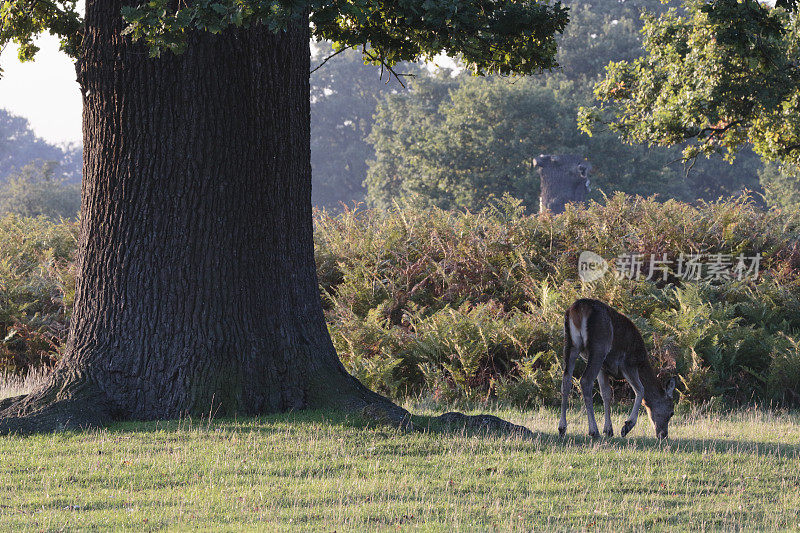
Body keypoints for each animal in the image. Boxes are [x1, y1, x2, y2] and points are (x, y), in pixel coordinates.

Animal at [560, 298, 680, 438]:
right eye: (671, 412)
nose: (663, 434)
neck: (642, 361)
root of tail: (577, 309)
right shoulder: (628, 364)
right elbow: (640, 389)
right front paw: (626, 426)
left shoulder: (603, 369)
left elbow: (606, 393)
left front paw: (608, 430)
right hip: (599, 346)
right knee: (585, 381)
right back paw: (593, 431)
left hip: (570, 343)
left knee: (566, 380)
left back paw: (562, 428)